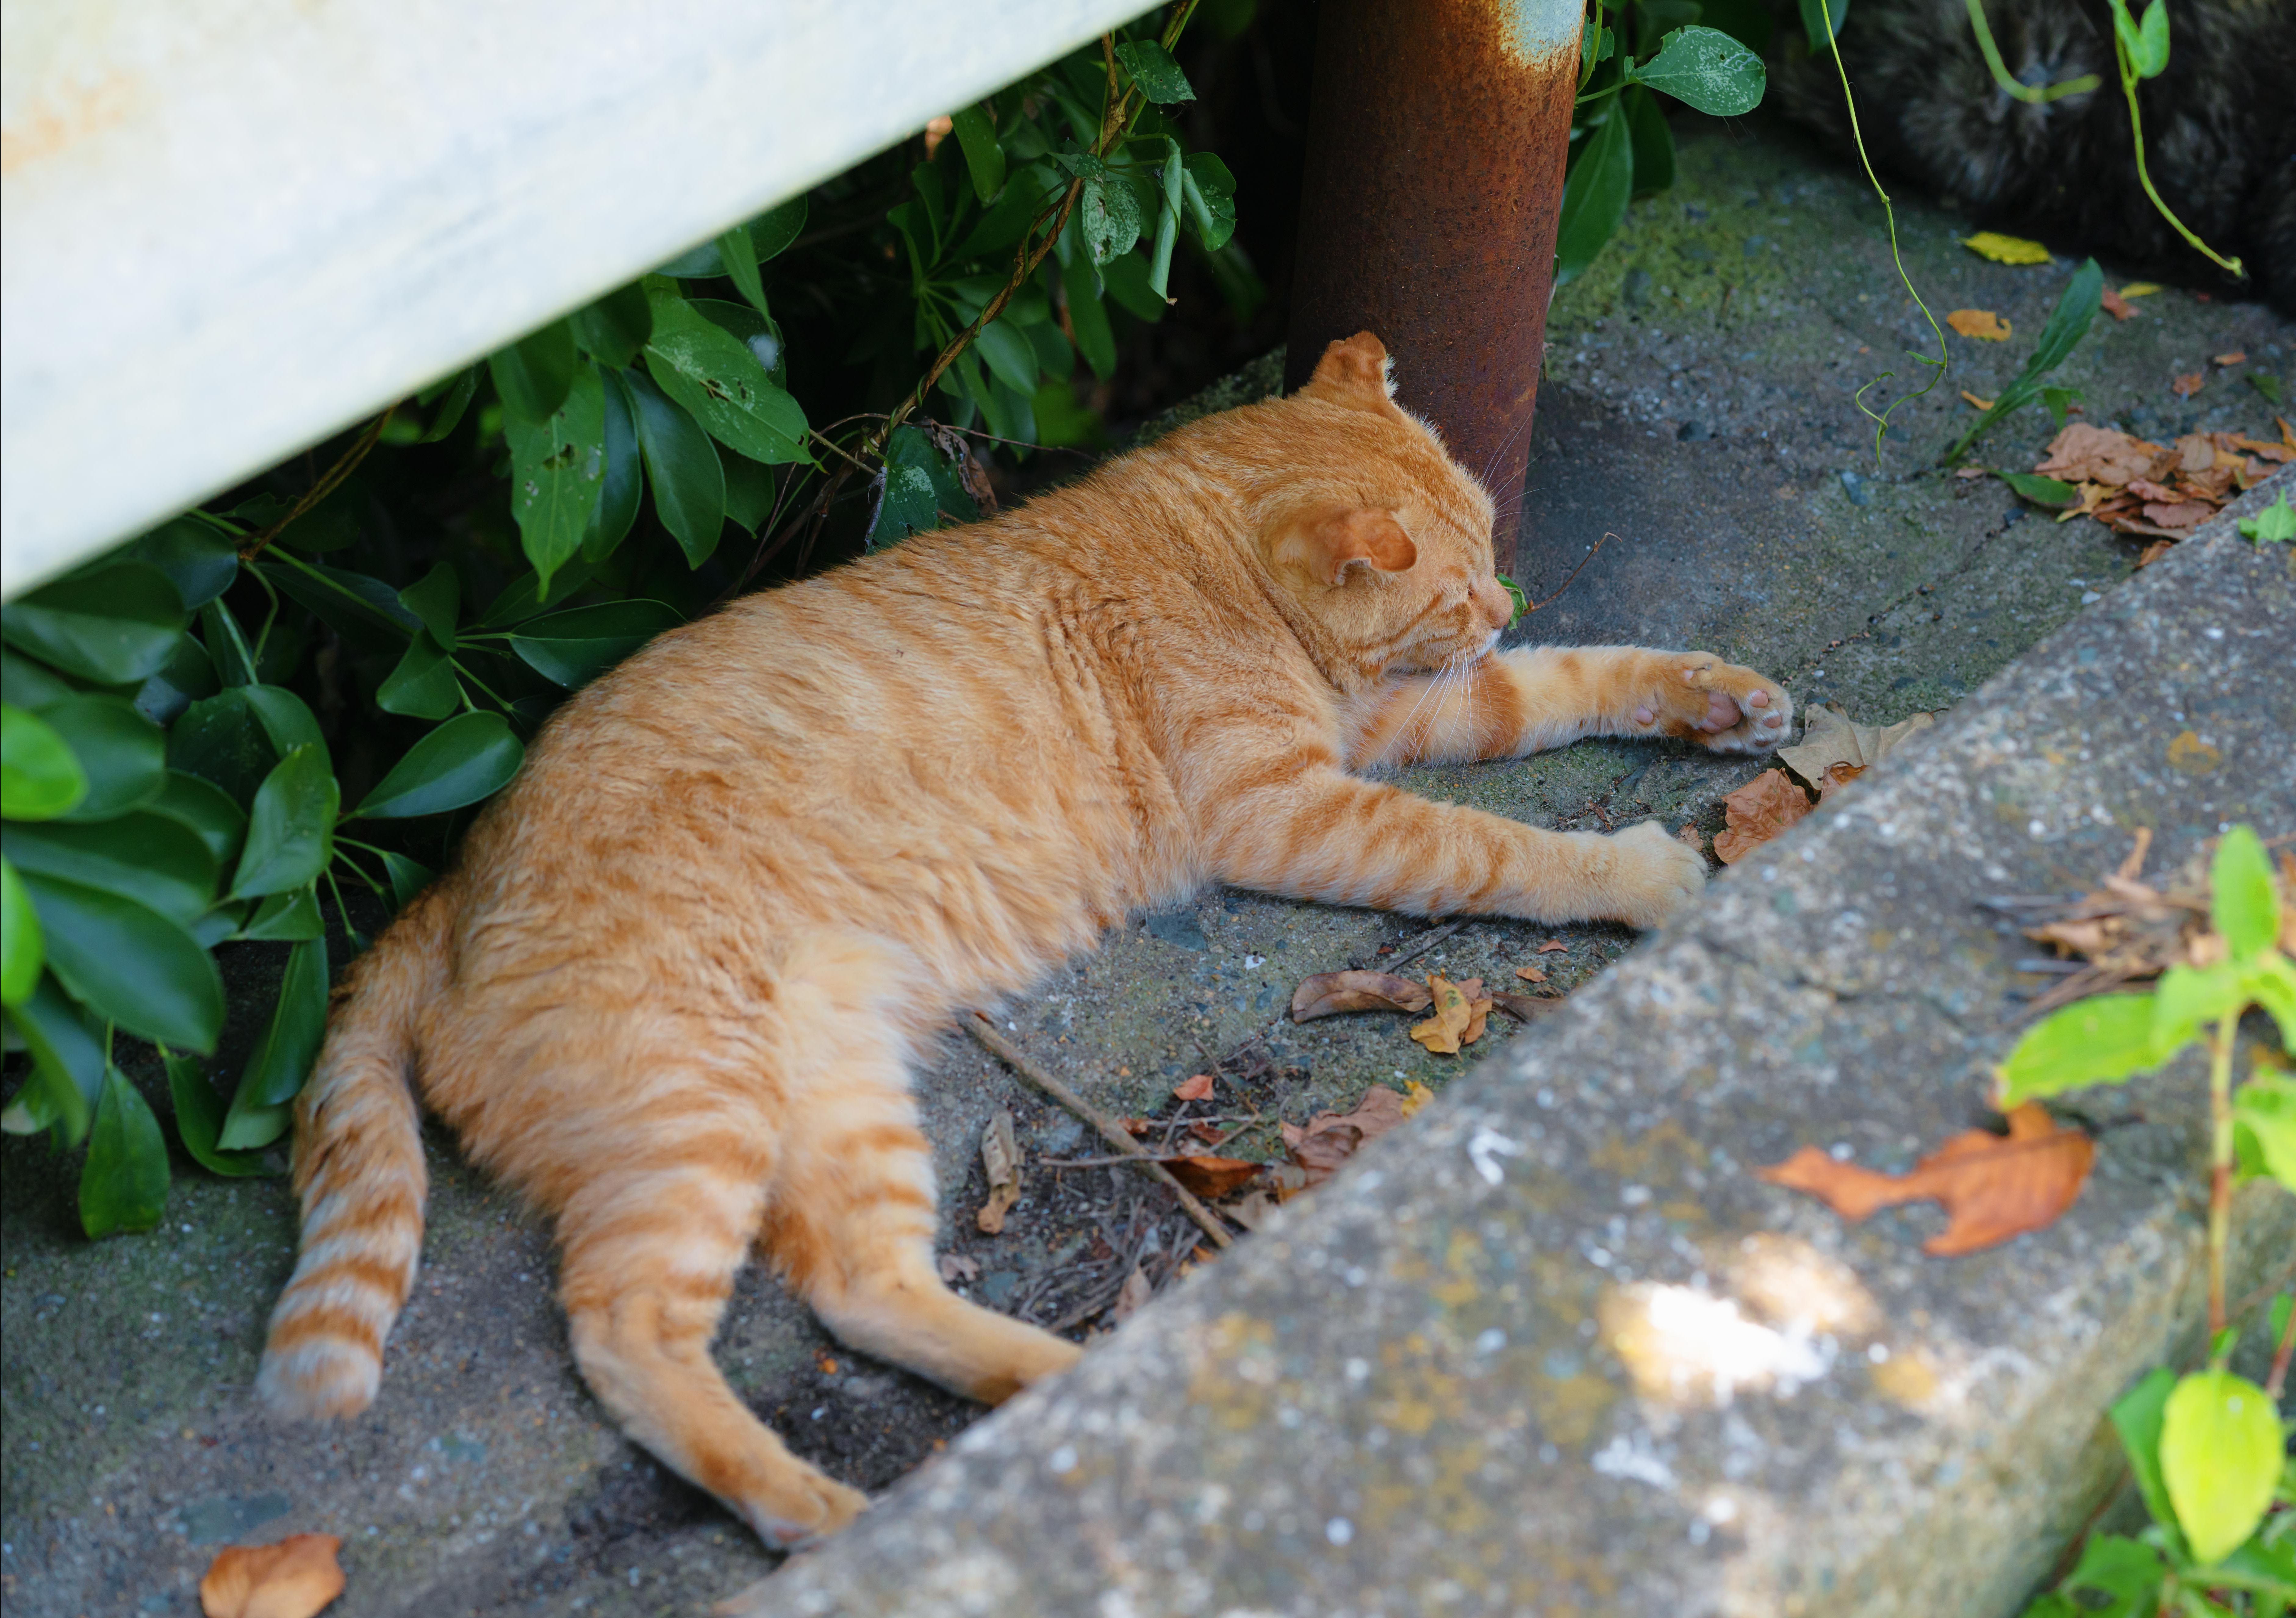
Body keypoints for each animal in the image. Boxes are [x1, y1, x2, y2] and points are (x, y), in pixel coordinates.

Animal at [251, 335, 1791, 1542]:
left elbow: (1573, 680)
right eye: (1456, 579)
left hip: (839, 1095)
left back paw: (1054, 1388)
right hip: (697, 1113)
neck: (1202, 554)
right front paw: (1635, 871)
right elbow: (1499, 849)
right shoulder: (1298, 809)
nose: (1500, 600)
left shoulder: (1403, 720)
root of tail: (453, 877)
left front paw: (1718, 698)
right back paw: (814, 1506)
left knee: (859, 1285)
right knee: (628, 1330)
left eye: (1487, 548)